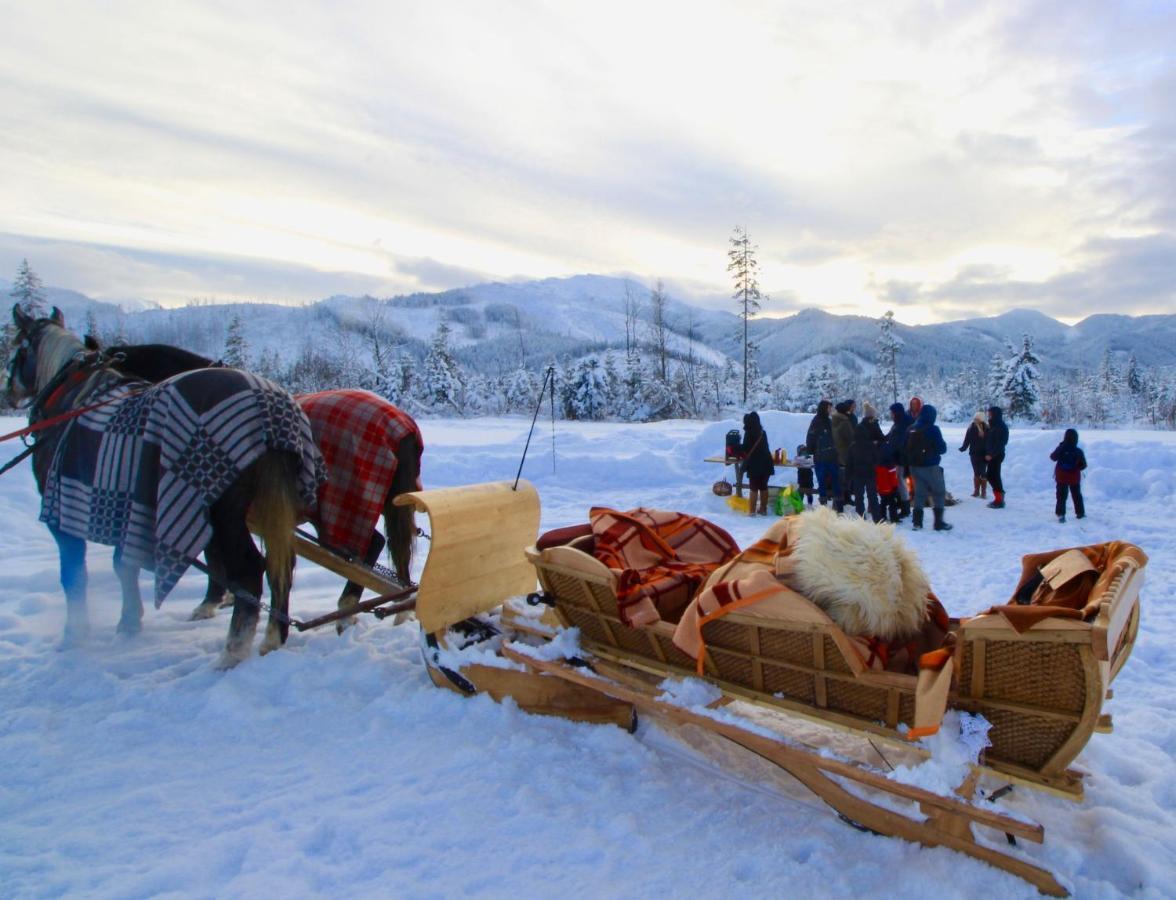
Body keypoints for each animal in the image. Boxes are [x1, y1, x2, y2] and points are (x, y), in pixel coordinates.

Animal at [6, 305, 326, 663]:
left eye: (16, 352)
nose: (9, 393)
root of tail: (275, 412)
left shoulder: (64, 513)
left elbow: (75, 576)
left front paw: (75, 634)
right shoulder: (130, 509)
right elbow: (125, 565)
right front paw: (131, 622)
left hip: (224, 510)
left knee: (249, 568)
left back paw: (233, 651)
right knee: (278, 566)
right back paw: (272, 635)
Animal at [92, 338, 423, 630]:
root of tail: (402, 425)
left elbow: (215, 557)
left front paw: (211, 601)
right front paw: (227, 598)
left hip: (340, 509)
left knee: (370, 546)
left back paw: (349, 607)